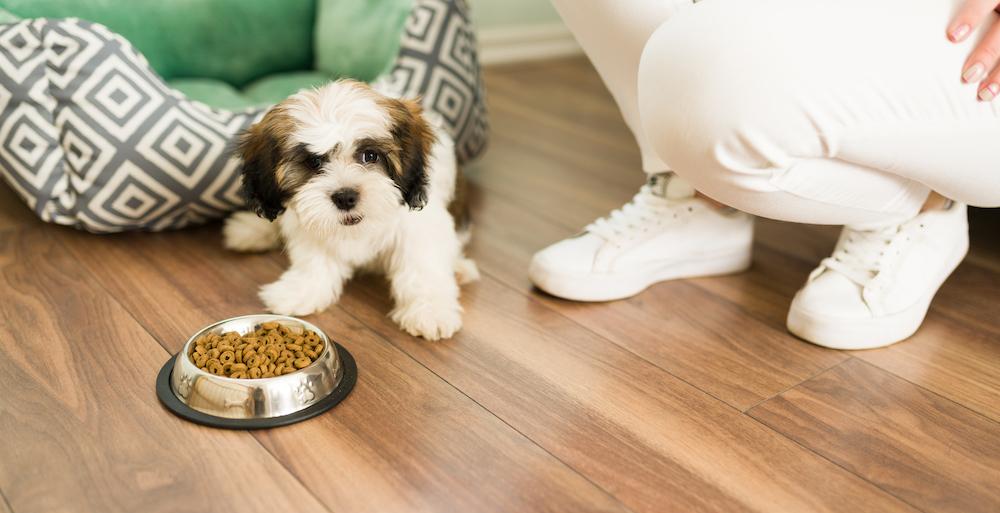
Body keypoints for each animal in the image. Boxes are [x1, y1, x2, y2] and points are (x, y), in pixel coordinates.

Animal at [224, 80, 480, 340]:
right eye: (314, 162)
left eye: (370, 155)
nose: (345, 197)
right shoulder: (310, 221)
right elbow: (314, 259)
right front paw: (302, 291)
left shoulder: (419, 226)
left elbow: (422, 266)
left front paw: (429, 311)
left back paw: (460, 269)